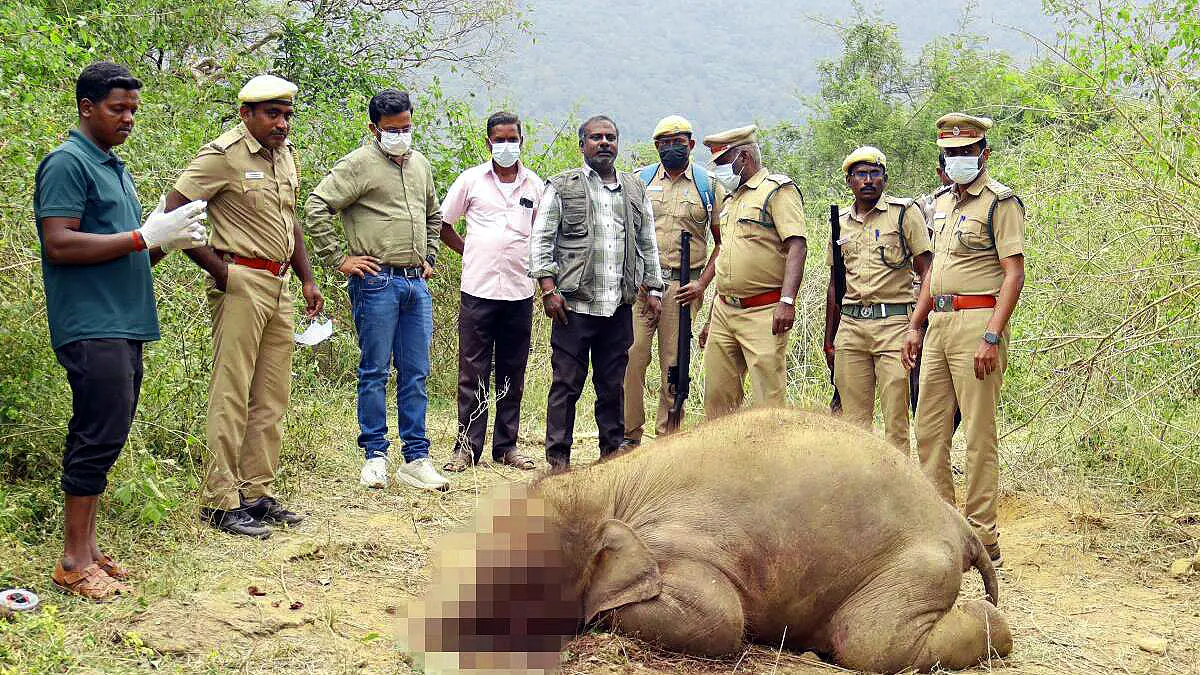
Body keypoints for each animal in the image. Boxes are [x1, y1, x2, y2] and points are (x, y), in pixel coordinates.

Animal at [404, 408, 1011, 673]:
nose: (419, 638)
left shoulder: (679, 543)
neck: (602, 486)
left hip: (917, 564)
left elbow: (721, 616)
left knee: (870, 641)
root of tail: (956, 520)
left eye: (507, 577)